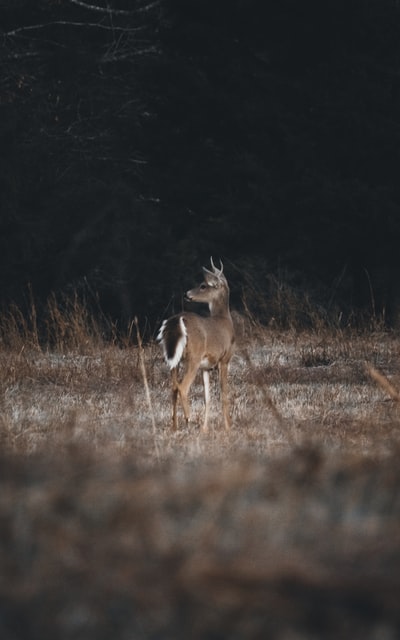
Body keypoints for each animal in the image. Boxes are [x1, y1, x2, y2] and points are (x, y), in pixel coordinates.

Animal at [158, 258, 236, 432]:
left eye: (203, 285)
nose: (186, 294)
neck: (225, 320)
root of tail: (177, 320)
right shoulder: (224, 359)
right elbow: (223, 394)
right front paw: (228, 426)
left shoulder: (205, 367)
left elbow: (208, 398)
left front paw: (205, 429)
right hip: (193, 357)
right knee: (182, 387)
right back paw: (189, 418)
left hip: (174, 360)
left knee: (173, 388)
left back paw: (175, 426)